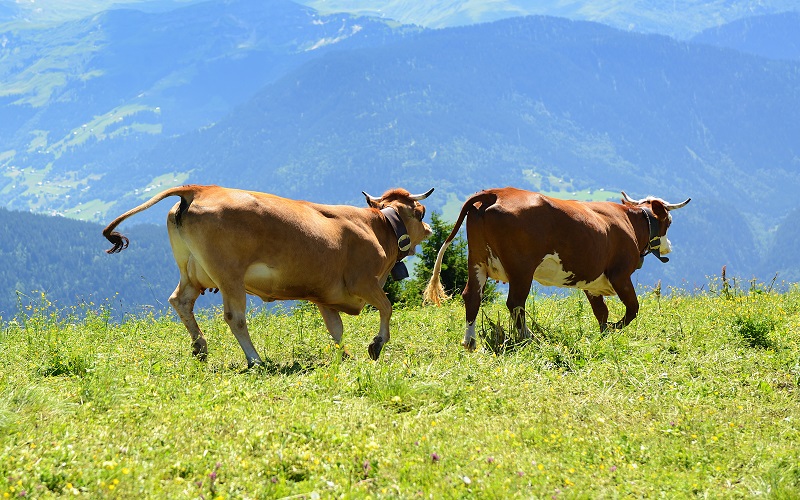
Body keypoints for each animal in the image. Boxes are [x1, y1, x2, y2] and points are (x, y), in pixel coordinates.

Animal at [103, 184, 434, 368]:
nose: (430, 229)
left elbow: (336, 330)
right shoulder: (363, 280)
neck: (377, 228)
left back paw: (200, 348)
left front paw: (345, 355)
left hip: (192, 272)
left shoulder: (324, 296)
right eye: (420, 212)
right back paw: (255, 359)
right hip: (229, 276)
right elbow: (387, 308)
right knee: (234, 317)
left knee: (181, 302)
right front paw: (377, 344)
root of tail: (200, 188)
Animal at [423, 188, 690, 350]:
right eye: (669, 222)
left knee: (472, 296)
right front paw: (614, 329)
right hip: (521, 268)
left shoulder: (591, 282)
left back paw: (469, 342)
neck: (630, 222)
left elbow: (601, 313)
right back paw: (528, 337)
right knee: (515, 303)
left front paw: (604, 335)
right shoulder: (620, 275)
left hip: (476, 260)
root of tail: (497, 192)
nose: (669, 246)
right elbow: (633, 309)